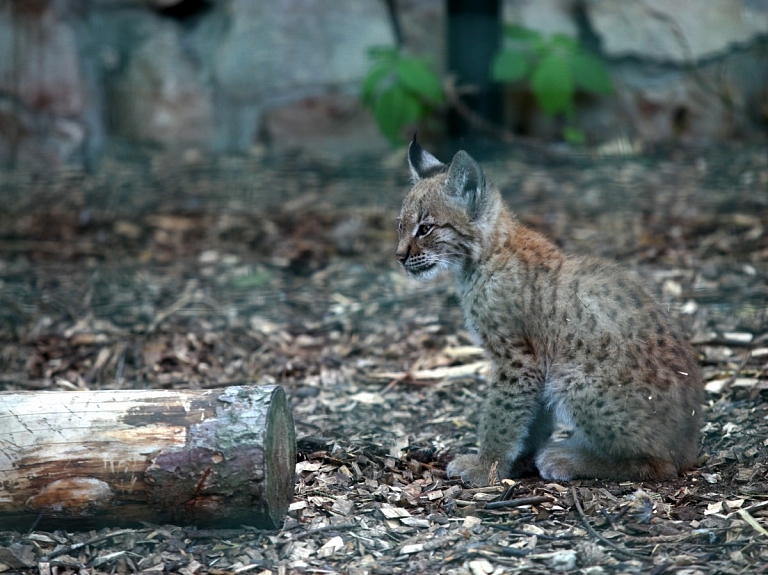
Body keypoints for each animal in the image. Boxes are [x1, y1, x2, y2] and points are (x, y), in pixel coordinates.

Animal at [400, 141, 704, 486]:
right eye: (401, 225)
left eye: (425, 229)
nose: (399, 257)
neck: (484, 256)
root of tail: (688, 447)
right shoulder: (534, 365)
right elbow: (531, 417)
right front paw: (516, 460)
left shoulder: (517, 359)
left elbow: (501, 414)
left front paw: (485, 466)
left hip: (570, 376)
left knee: (658, 465)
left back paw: (568, 458)